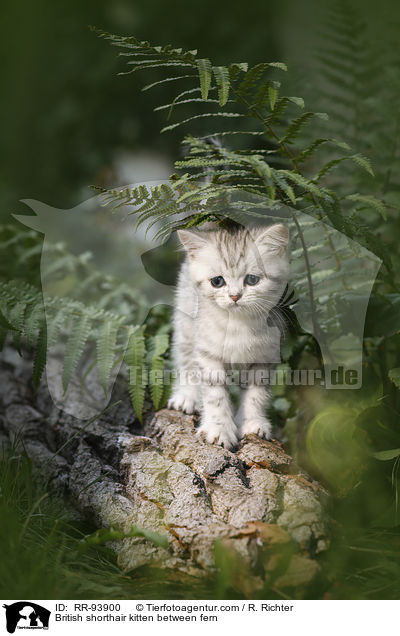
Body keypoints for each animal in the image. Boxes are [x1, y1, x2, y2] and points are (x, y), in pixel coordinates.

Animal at [167, 224, 290, 448]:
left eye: (252, 279)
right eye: (217, 281)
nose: (234, 296)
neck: (238, 325)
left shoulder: (264, 357)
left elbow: (256, 394)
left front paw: (252, 423)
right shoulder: (208, 355)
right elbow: (215, 395)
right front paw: (219, 430)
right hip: (186, 323)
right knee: (186, 360)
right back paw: (186, 397)